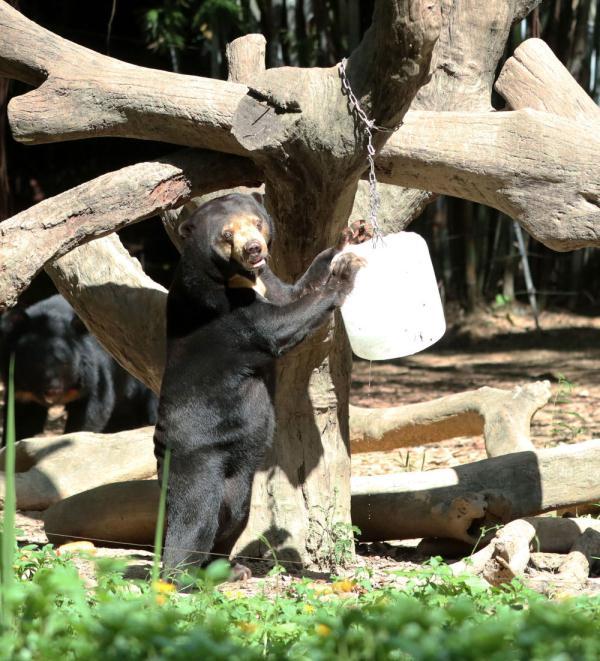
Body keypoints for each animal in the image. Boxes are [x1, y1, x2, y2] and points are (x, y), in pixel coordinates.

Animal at [0, 292, 158, 438]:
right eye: (37, 363)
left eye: (64, 363)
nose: (53, 390)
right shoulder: (20, 390)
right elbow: (20, 418)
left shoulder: (93, 373)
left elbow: (94, 408)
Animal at [152, 192, 364, 576]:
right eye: (226, 235)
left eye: (256, 222)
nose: (253, 249)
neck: (241, 277)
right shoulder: (221, 307)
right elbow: (281, 322)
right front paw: (345, 272)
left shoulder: (268, 280)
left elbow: (294, 291)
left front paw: (348, 238)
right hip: (196, 454)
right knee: (195, 517)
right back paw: (179, 576)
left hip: (236, 470)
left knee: (234, 511)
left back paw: (229, 570)